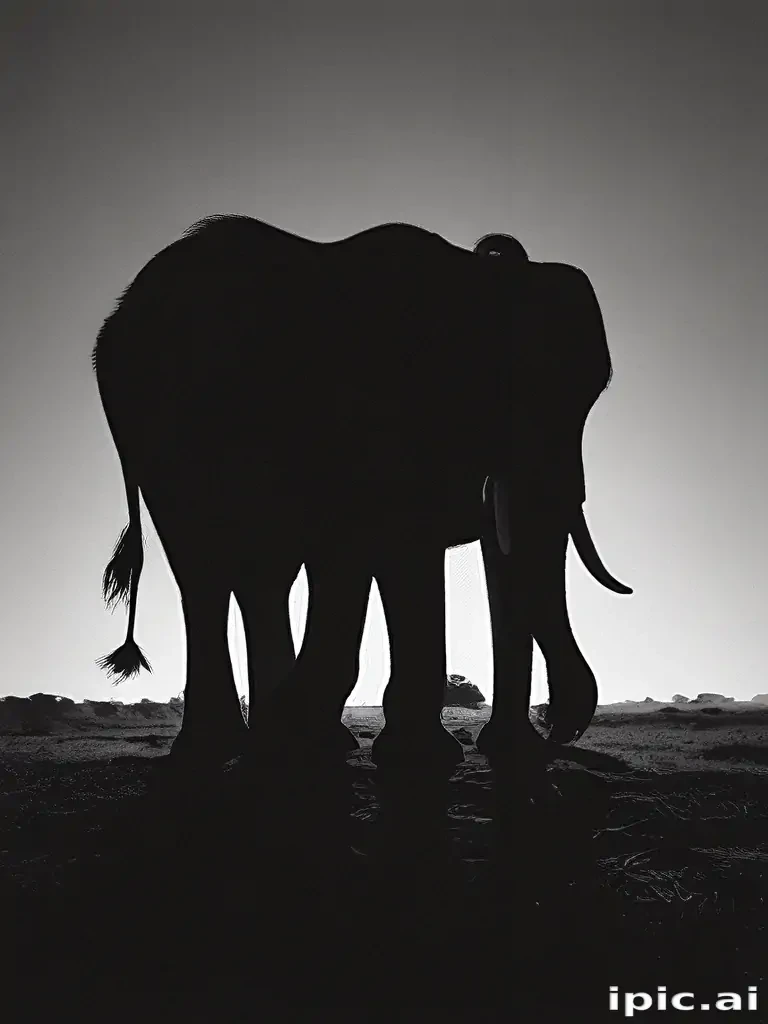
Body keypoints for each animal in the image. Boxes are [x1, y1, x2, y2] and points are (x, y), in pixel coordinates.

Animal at [92, 214, 631, 779]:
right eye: (509, 383)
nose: (562, 725)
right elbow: (396, 543)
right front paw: (413, 755)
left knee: (260, 574)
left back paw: (276, 743)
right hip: (160, 441)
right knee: (205, 570)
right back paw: (227, 747)